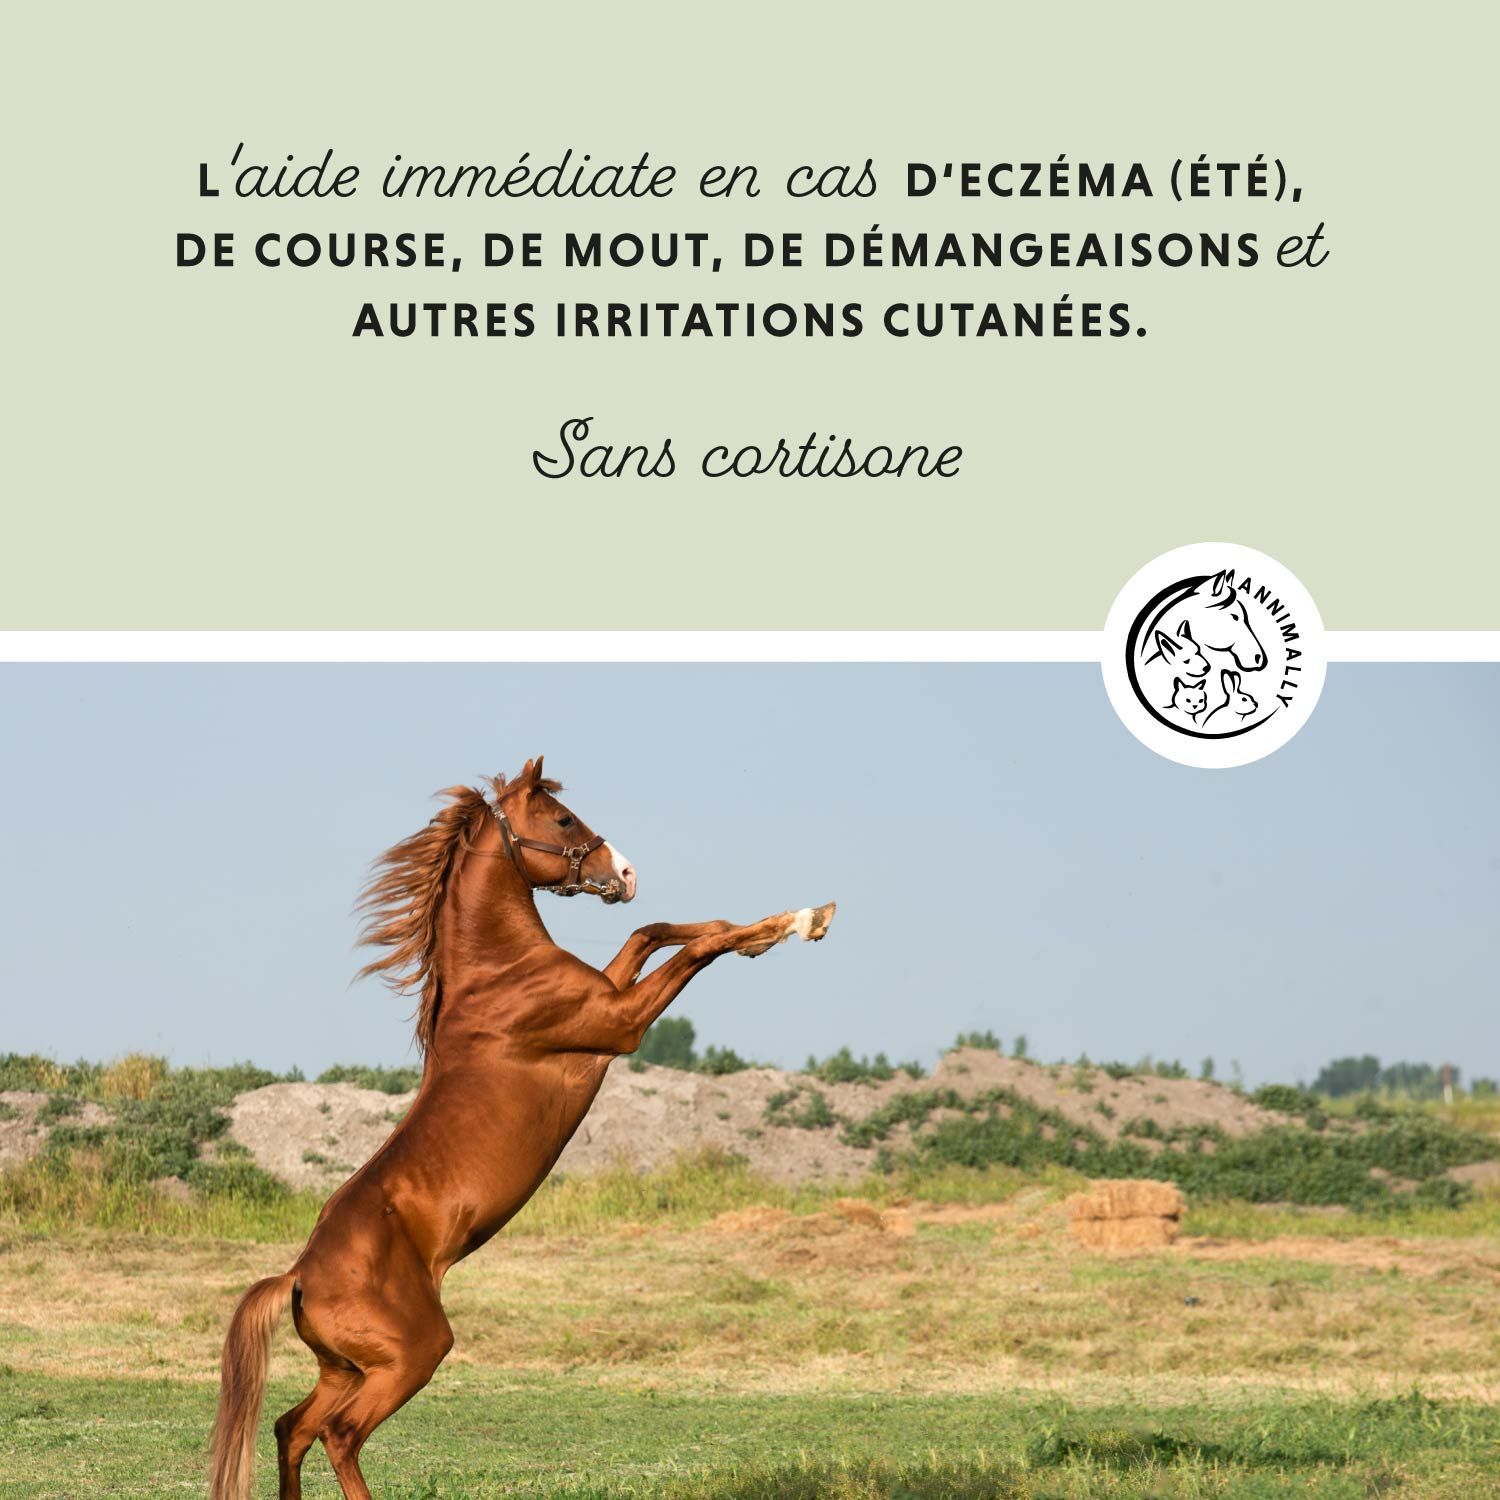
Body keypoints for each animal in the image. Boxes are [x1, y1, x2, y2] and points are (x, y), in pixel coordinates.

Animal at [209, 758, 835, 1500]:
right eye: (563, 819)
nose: (625, 874)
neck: (500, 974)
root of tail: (299, 1277)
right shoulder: (620, 1024)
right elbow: (694, 948)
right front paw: (802, 921)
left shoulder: (611, 997)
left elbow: (653, 932)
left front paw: (778, 929)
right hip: (408, 1359)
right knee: (338, 1435)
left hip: (345, 1370)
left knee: (290, 1429)